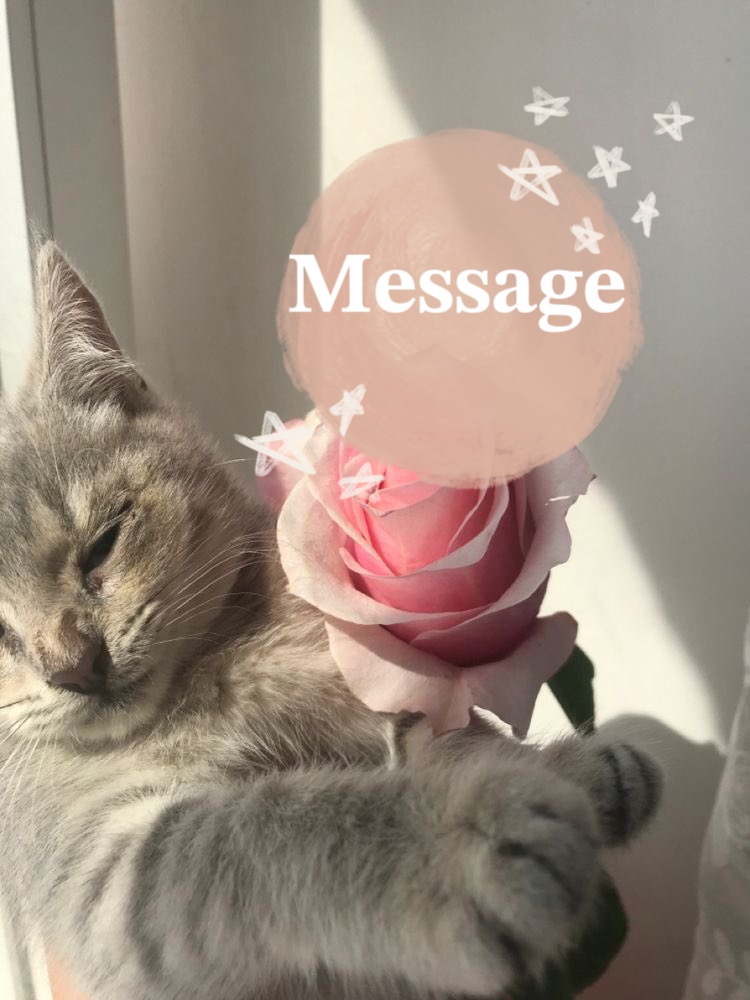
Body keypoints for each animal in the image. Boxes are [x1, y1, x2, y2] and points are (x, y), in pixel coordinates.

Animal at [0, 241, 661, 1000]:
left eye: (103, 543)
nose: (76, 666)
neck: (211, 684)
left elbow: (453, 738)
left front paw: (576, 768)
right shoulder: (102, 877)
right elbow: (254, 835)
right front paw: (461, 841)